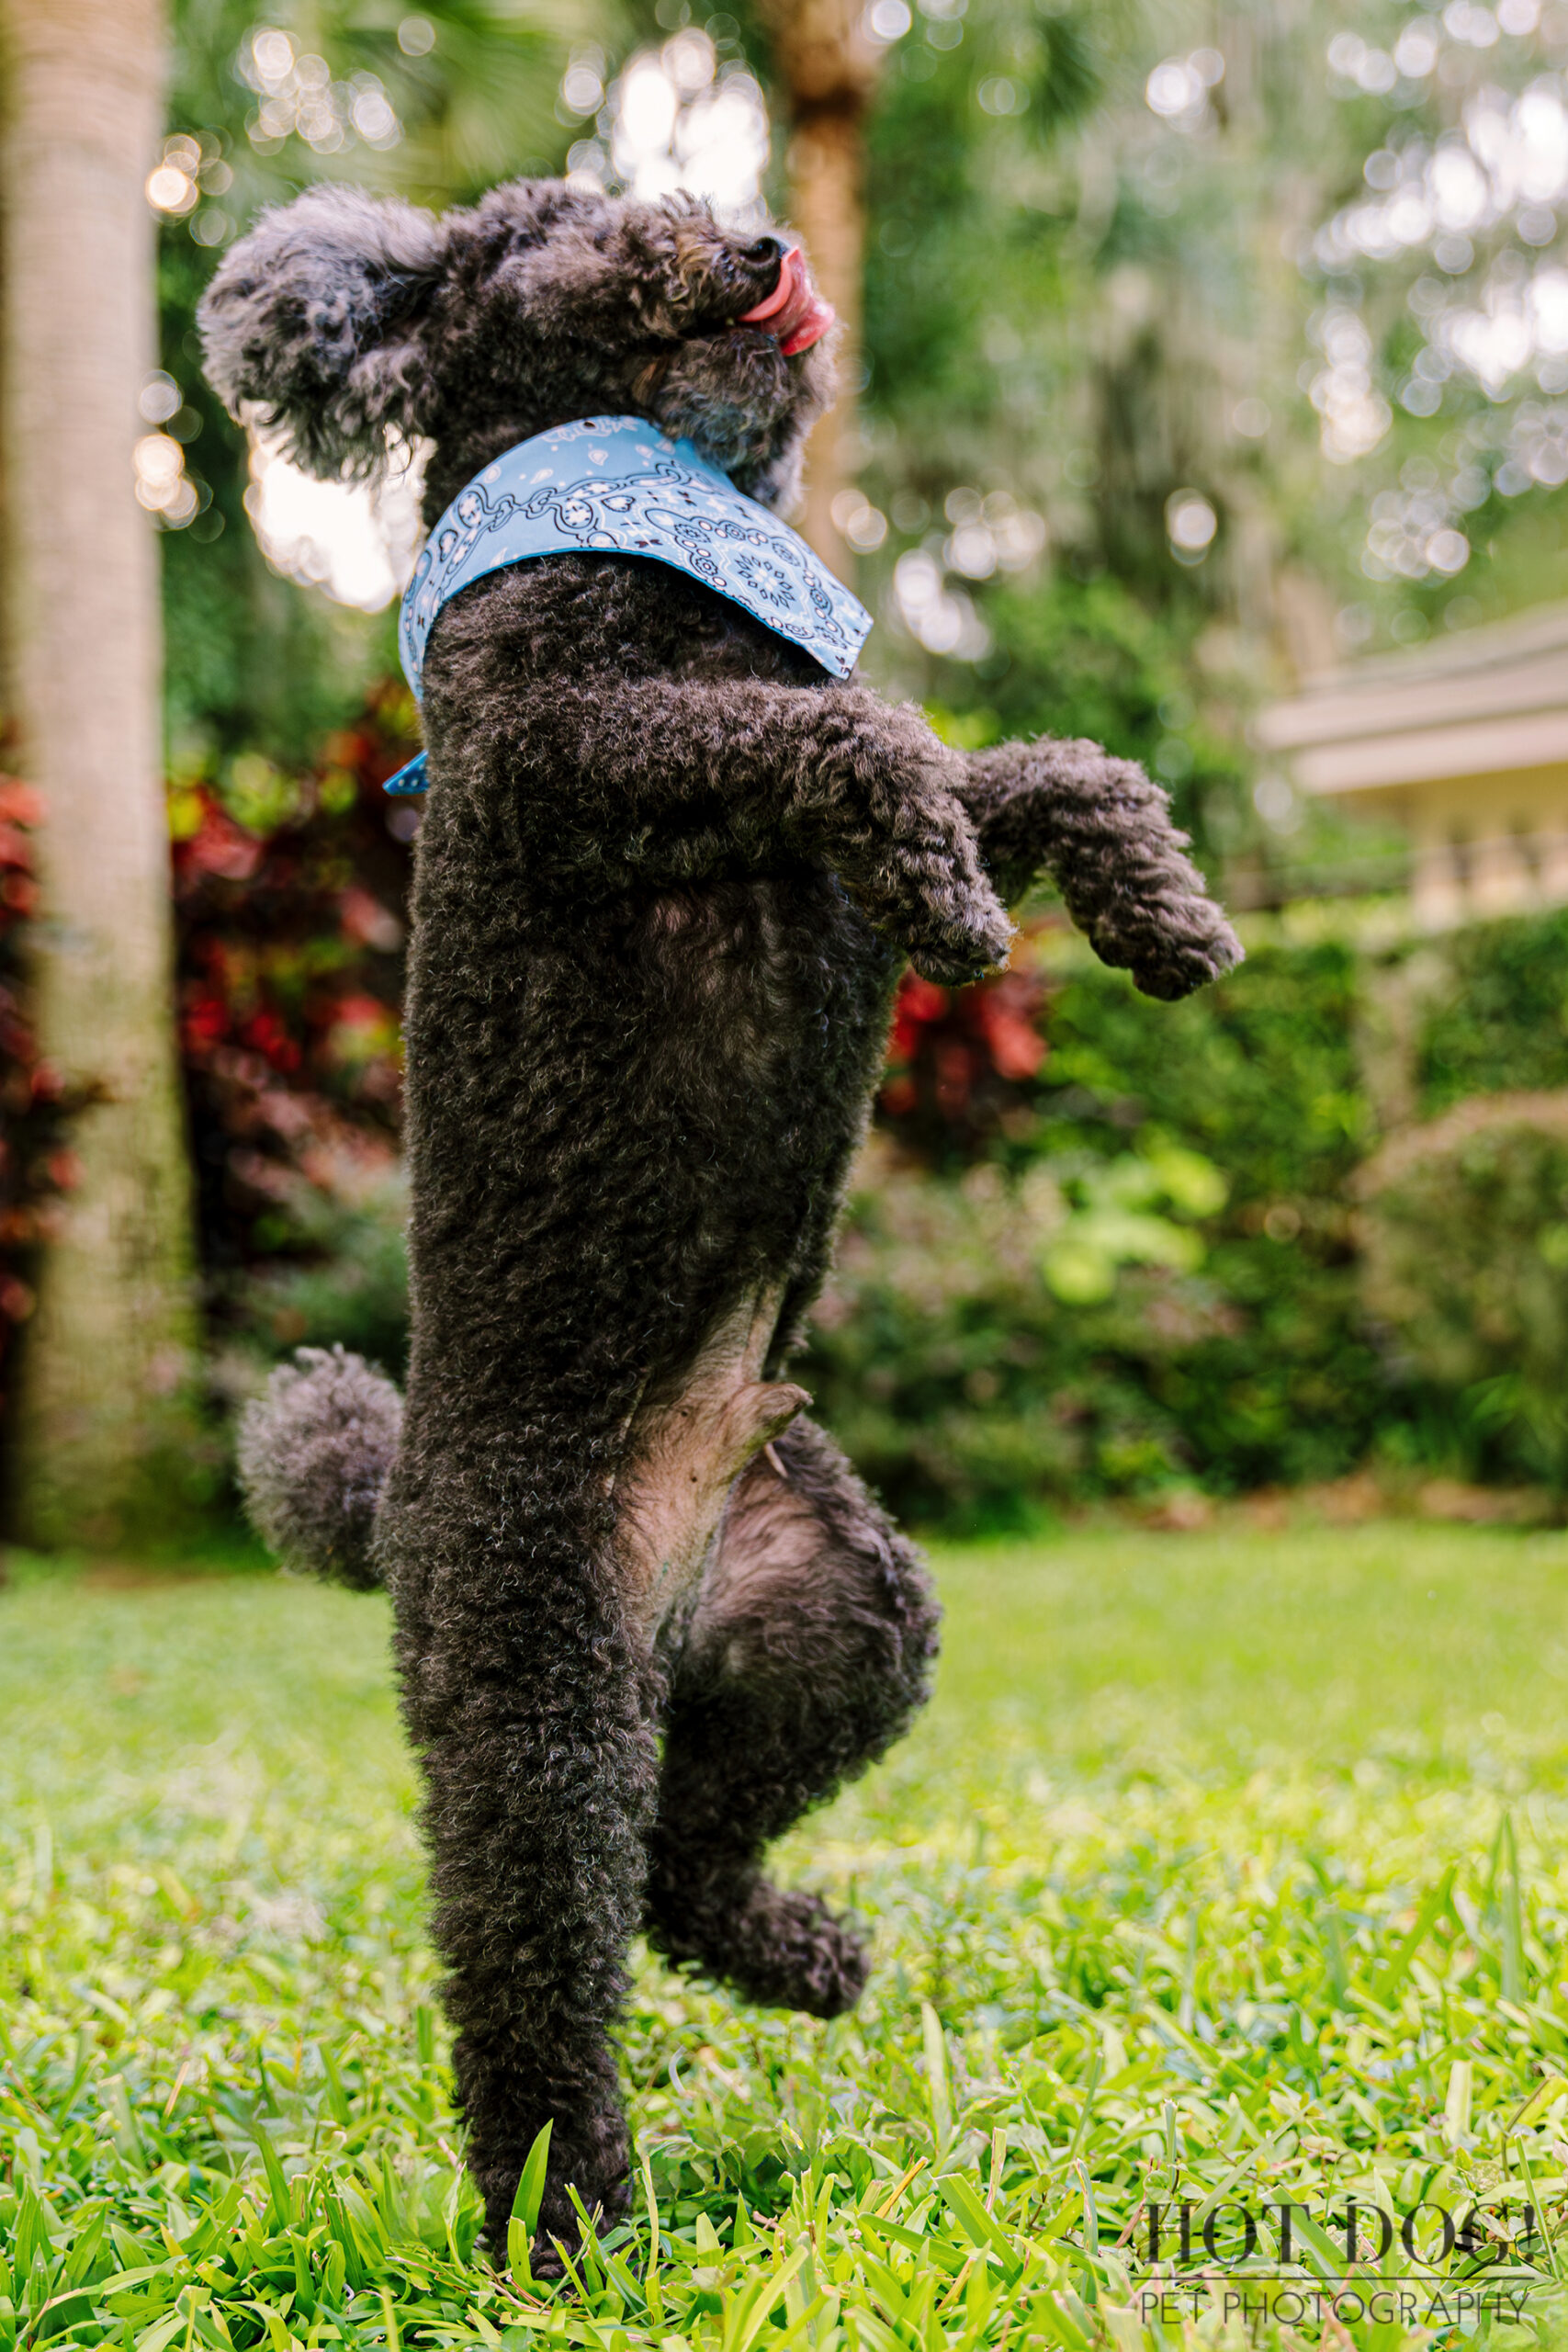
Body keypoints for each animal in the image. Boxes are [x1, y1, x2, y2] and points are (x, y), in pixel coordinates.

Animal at [205, 178, 1241, 2257]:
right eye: (581, 226)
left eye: (669, 200)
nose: (759, 246)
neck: (655, 521)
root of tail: (394, 1497)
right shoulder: (582, 753)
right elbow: (870, 748)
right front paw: (955, 893)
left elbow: (1024, 764)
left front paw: (1153, 901)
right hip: (537, 1689)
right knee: (540, 1963)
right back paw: (570, 2224)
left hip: (841, 1621)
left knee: (687, 1862)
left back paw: (797, 1954)